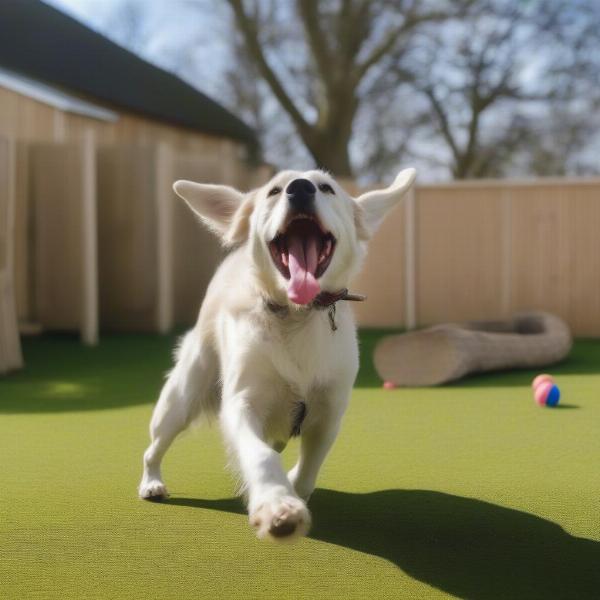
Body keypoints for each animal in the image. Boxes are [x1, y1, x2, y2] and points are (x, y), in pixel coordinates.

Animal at [138, 166, 414, 540]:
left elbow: (309, 469)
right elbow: (261, 457)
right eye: (274, 190)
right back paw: (151, 482)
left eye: (326, 187)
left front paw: (293, 489)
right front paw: (276, 504)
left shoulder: (329, 413)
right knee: (154, 448)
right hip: (180, 400)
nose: (300, 189)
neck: (296, 316)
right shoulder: (242, 404)